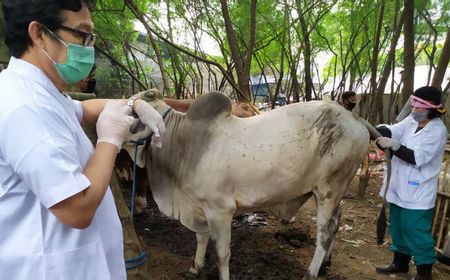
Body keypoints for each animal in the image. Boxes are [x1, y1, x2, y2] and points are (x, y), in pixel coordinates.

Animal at [125, 89, 384, 280]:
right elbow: (200, 238)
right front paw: (195, 267)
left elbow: (222, 253)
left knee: (325, 232)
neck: (184, 142)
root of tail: (356, 118)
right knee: (337, 221)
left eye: (133, 113)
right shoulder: (199, 207)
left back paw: (311, 272)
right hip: (333, 192)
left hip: (329, 189)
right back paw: (325, 264)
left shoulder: (220, 210)